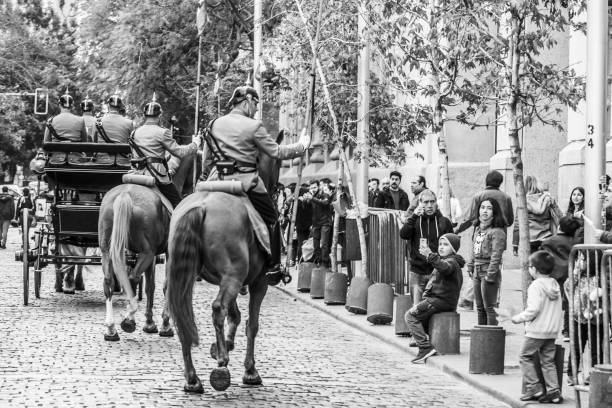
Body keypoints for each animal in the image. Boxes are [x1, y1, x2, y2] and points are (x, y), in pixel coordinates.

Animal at [165, 131, 284, 392]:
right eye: (279, 163)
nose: (277, 189)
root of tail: (201, 206)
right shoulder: (257, 282)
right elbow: (251, 323)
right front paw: (250, 370)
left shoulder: (230, 279)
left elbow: (236, 315)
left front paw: (224, 344)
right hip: (234, 276)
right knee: (218, 308)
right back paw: (221, 365)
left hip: (186, 274)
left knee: (181, 313)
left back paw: (192, 378)